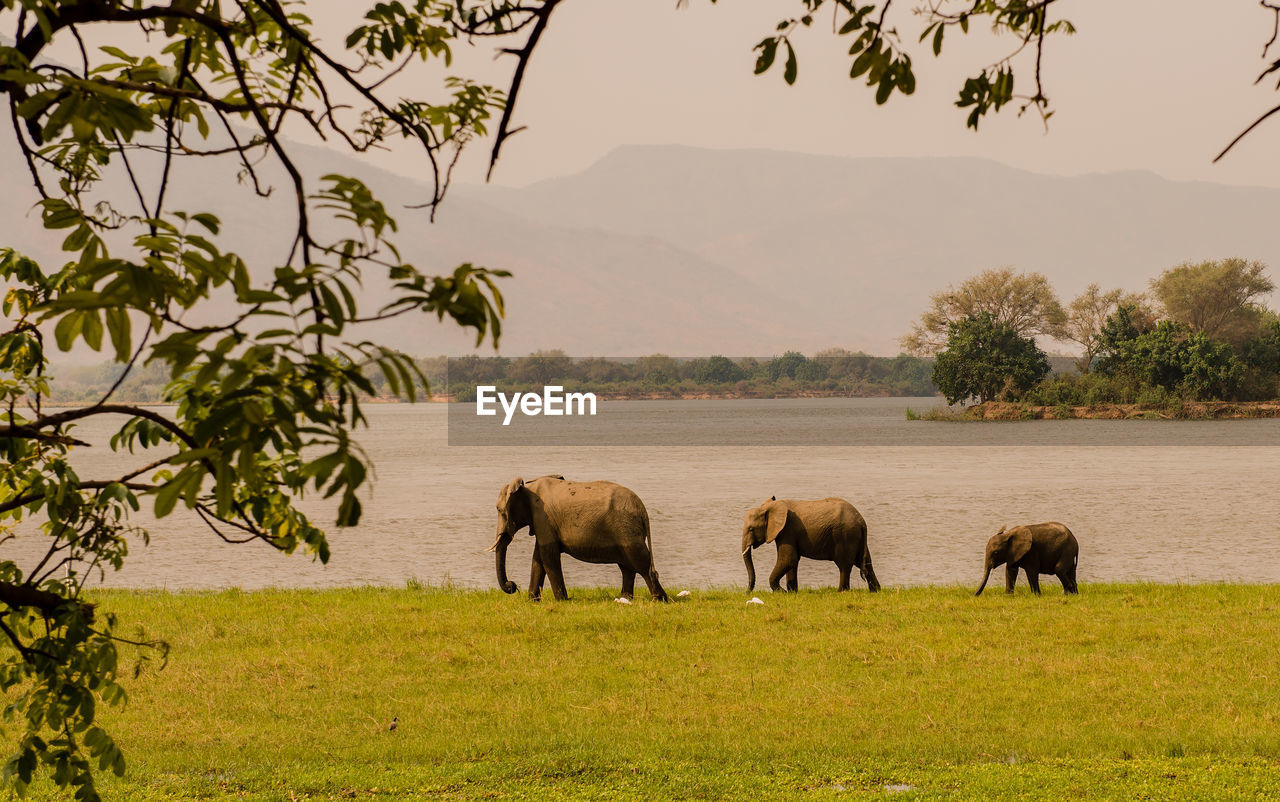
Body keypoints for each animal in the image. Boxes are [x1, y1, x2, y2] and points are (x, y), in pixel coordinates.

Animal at [486, 475, 670, 603]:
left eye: (499, 510)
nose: (512, 585)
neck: (527, 486)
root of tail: (643, 510)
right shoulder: (542, 522)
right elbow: (538, 557)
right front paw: (532, 601)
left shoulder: (542, 516)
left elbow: (548, 555)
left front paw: (562, 601)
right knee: (627, 566)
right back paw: (625, 598)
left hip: (627, 530)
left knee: (640, 561)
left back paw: (659, 600)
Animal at [742, 498, 880, 593]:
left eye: (751, 529)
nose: (747, 593)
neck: (772, 506)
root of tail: (861, 521)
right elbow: (792, 562)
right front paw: (792, 593)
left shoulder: (787, 531)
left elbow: (788, 560)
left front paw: (783, 592)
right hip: (856, 537)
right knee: (866, 562)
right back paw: (875, 591)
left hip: (845, 535)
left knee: (844, 565)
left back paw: (841, 592)